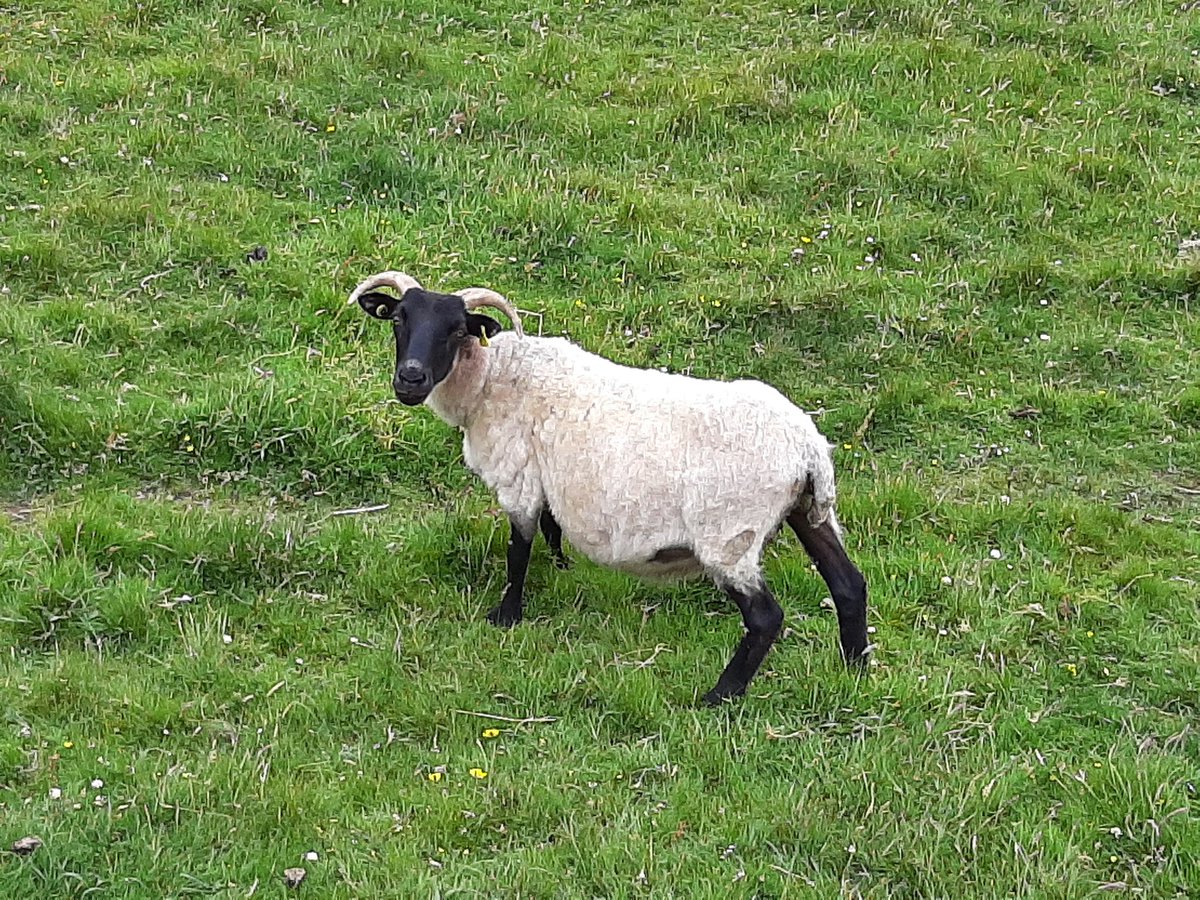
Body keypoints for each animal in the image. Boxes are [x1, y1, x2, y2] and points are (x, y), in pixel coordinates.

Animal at [349, 270, 870, 703]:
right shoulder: (547, 479)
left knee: (766, 618)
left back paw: (721, 695)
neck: (492, 379)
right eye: (398, 319)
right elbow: (551, 529)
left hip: (729, 534)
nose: (410, 378)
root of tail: (808, 449)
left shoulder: (518, 478)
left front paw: (506, 616)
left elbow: (519, 549)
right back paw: (855, 668)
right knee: (849, 585)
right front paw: (561, 569)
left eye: (457, 329)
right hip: (810, 512)